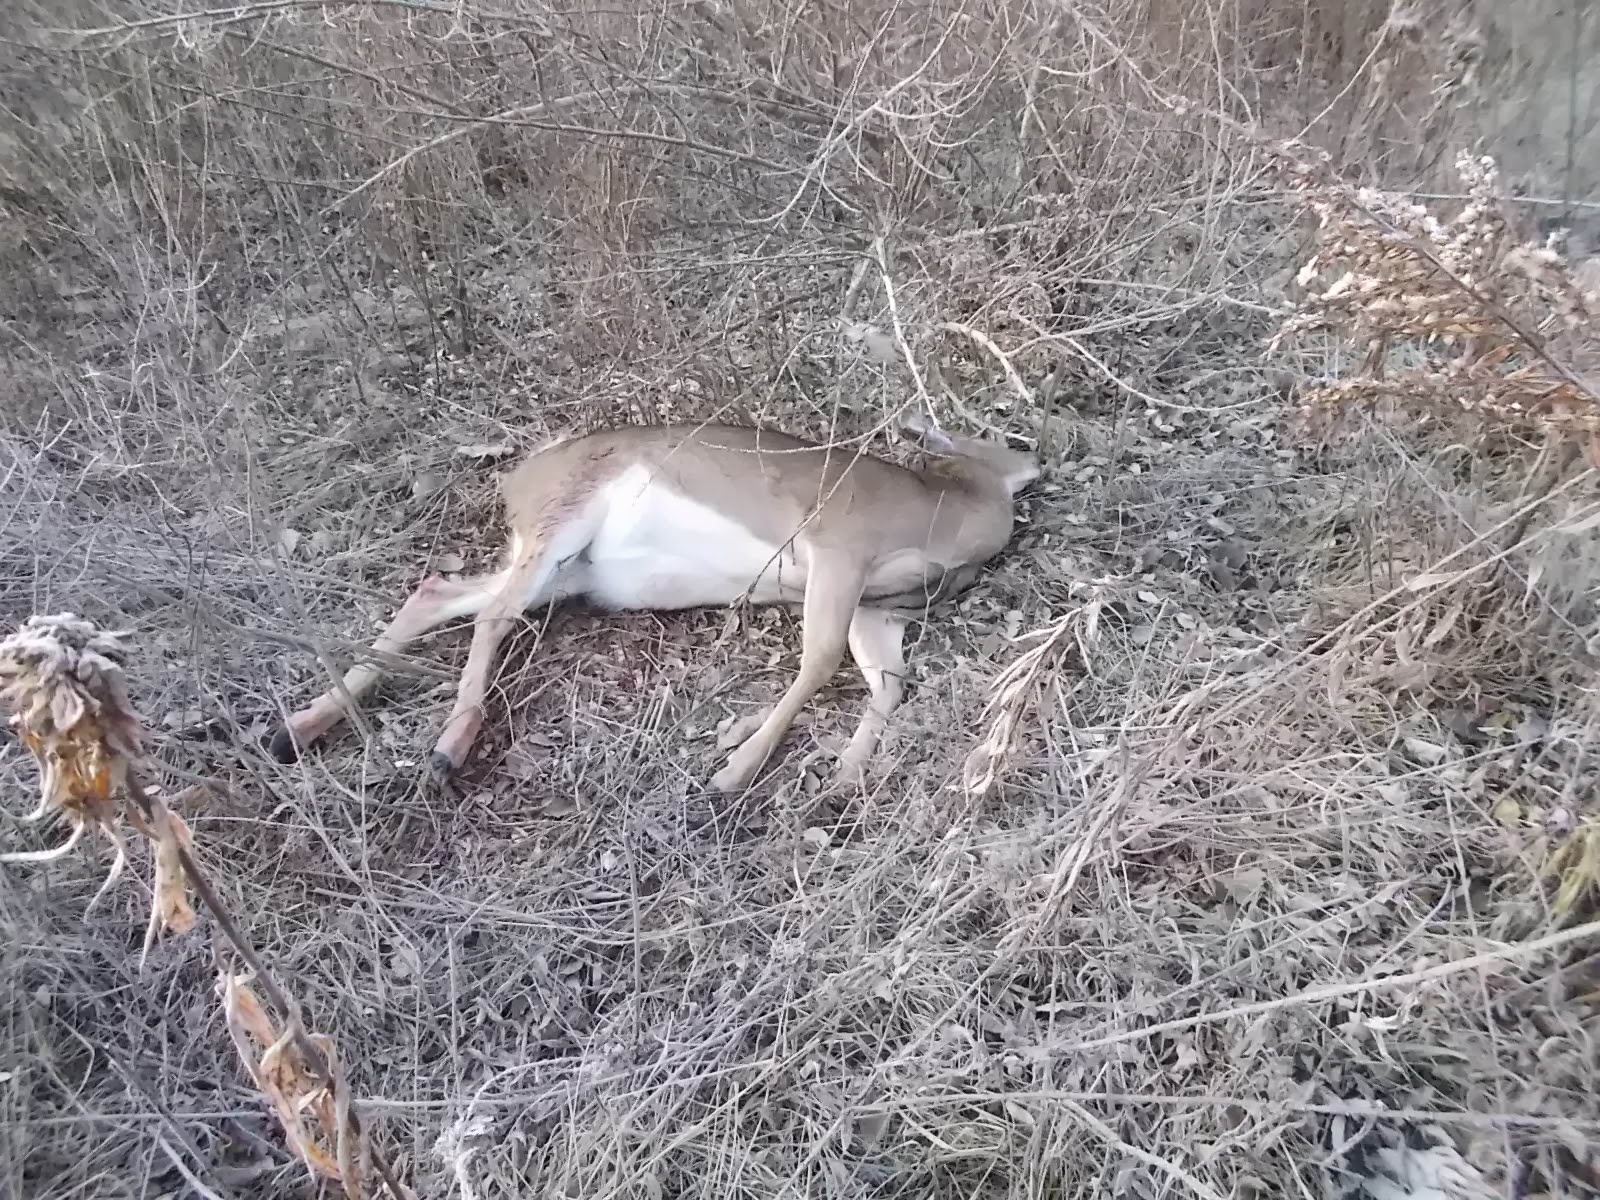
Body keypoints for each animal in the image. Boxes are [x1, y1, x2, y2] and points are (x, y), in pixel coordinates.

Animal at [268, 416, 1040, 794]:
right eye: (994, 438)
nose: (1034, 460)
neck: (939, 518)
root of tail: (517, 480)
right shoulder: (837, 547)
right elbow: (820, 661)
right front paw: (736, 769)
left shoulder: (880, 605)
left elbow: (885, 680)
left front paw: (843, 774)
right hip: (566, 519)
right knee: (491, 614)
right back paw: (444, 750)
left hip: (571, 570)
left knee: (439, 593)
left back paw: (297, 729)